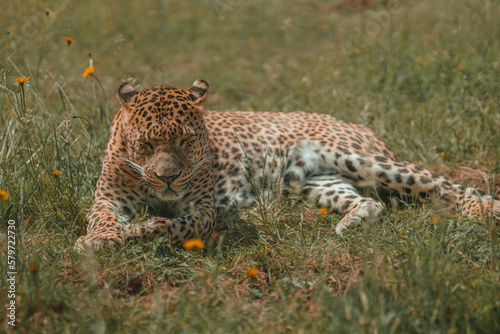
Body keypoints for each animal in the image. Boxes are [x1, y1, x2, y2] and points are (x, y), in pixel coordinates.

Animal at [75, 79, 500, 250]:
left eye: (185, 140)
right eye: (146, 144)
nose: (167, 179)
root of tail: (355, 124)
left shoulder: (204, 208)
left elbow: (175, 225)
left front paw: (138, 230)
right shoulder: (108, 199)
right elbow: (103, 218)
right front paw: (101, 238)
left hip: (364, 159)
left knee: (442, 183)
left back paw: (483, 209)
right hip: (319, 183)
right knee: (370, 202)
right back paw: (350, 224)